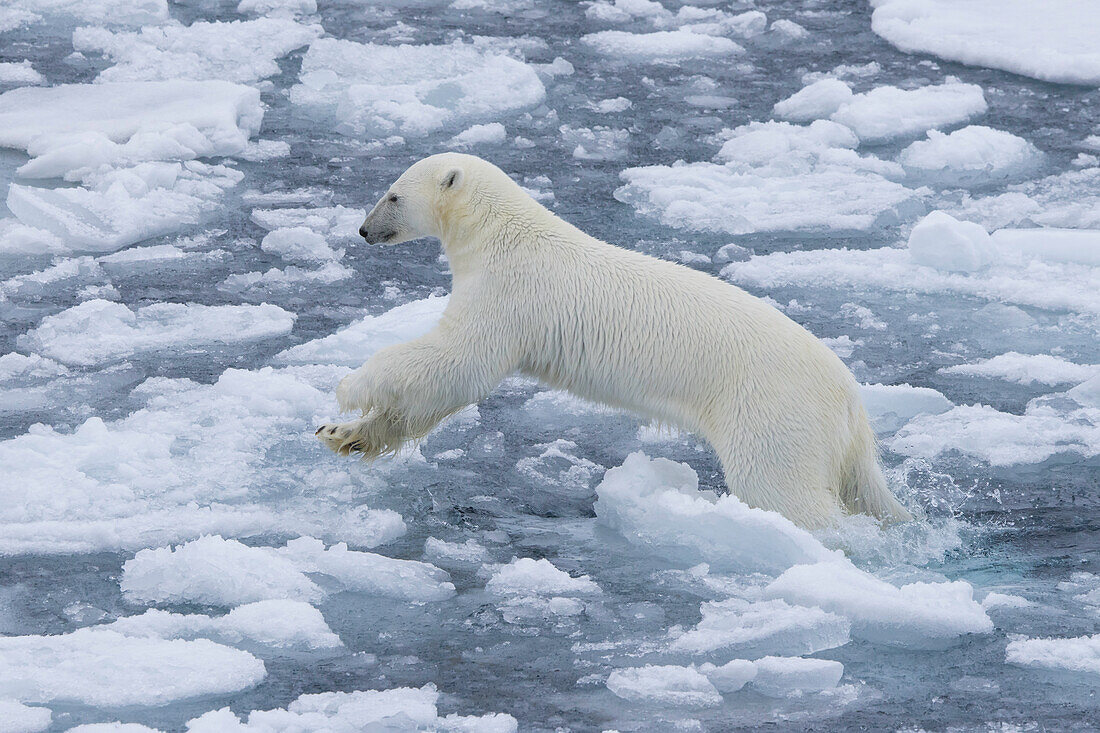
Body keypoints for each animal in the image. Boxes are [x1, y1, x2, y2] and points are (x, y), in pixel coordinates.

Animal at [316, 150, 910, 526]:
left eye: (393, 195)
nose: (364, 230)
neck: (501, 232)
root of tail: (851, 400)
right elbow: (441, 393)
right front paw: (343, 434)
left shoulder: (509, 293)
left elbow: (458, 360)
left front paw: (350, 385)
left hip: (773, 411)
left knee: (783, 490)